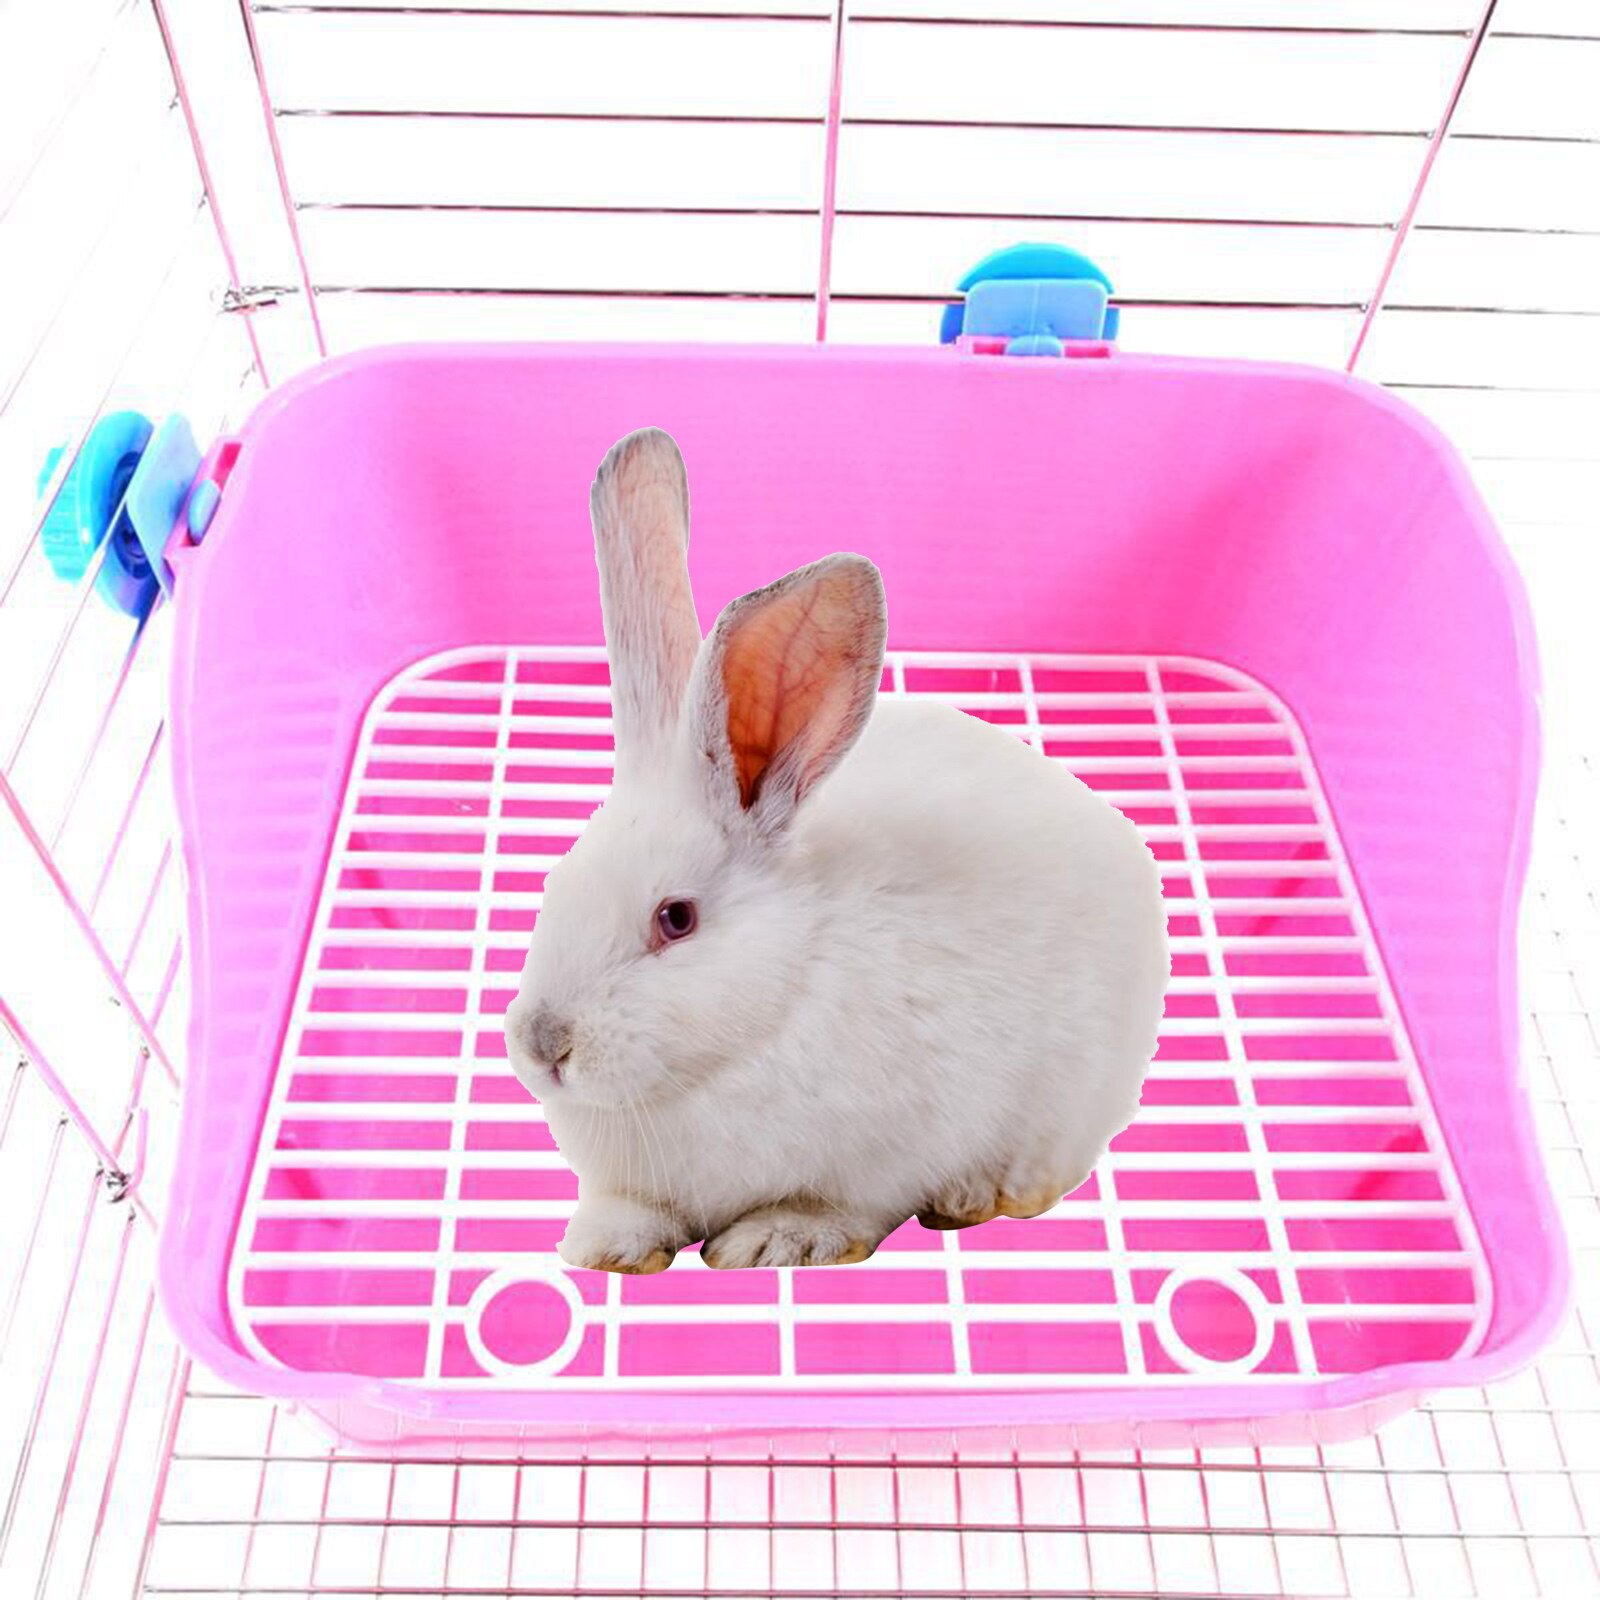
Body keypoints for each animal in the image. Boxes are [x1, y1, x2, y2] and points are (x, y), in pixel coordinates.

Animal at [504, 427, 1169, 1272]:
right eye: (554, 883)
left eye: (676, 919)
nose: (542, 1043)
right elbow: (634, 1212)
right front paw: (601, 1245)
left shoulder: (890, 1154)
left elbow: (841, 1206)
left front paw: (771, 1239)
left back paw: (980, 1194)